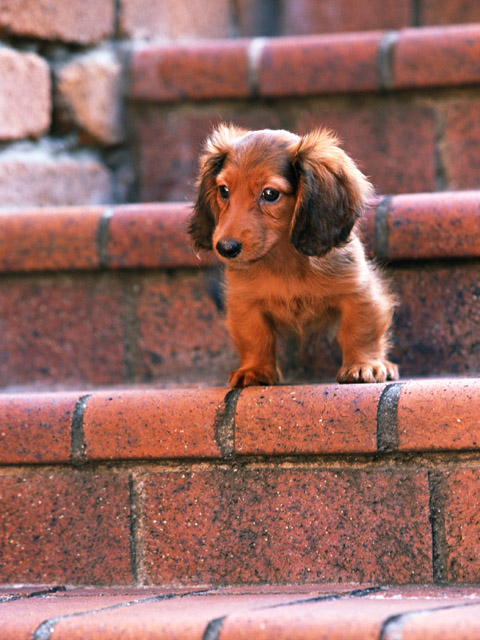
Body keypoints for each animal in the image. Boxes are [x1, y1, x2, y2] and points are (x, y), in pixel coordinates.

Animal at [189, 123, 400, 388]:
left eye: (270, 194)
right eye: (224, 190)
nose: (225, 248)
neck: (285, 259)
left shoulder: (359, 291)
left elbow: (359, 330)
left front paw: (363, 365)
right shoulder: (244, 301)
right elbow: (255, 337)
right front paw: (254, 370)